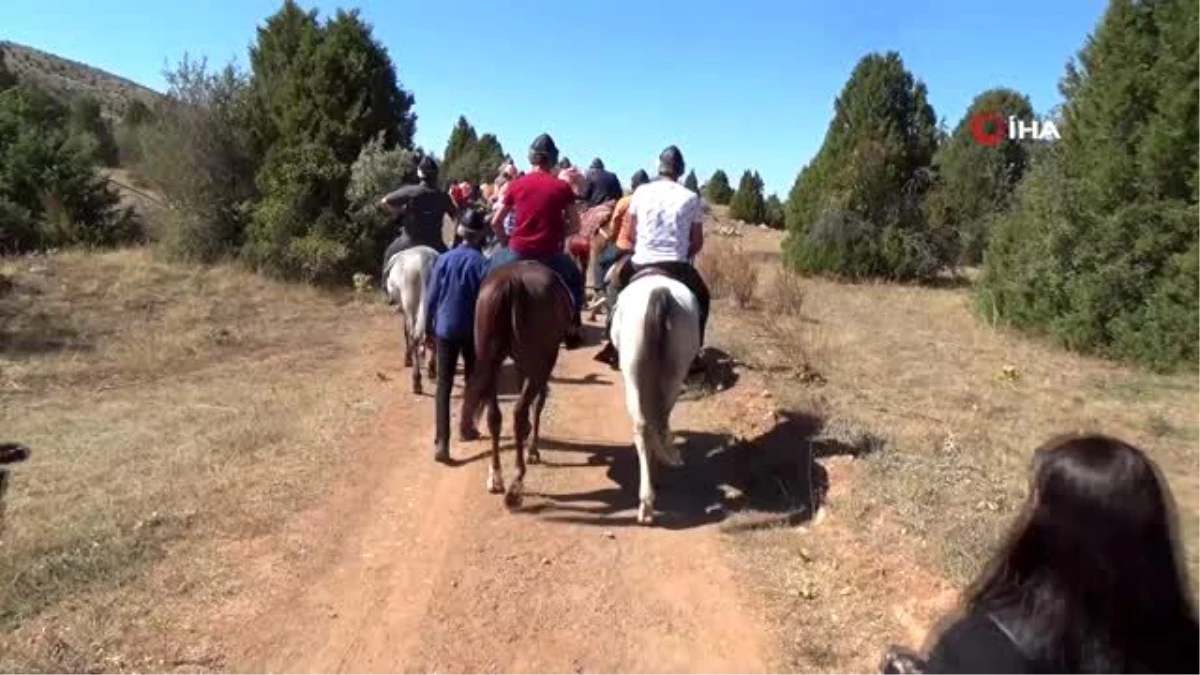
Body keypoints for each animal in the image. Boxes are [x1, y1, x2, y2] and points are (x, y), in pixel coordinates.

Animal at [384, 246, 441, 393]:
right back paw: (431, 369)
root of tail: (425, 261)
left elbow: (406, 332)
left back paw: (416, 381)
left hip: (410, 304)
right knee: (434, 334)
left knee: (414, 336)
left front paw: (408, 358)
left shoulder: (405, 308)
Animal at [456, 257, 573, 504]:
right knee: (519, 411)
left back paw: (496, 477)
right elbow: (537, 402)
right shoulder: (543, 364)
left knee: (494, 417)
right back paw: (516, 483)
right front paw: (533, 450)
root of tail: (513, 282)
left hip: (490, 362)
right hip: (540, 362)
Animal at [609, 270, 700, 523]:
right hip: (676, 371)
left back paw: (647, 501)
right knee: (659, 422)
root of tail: (660, 293)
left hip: (632, 371)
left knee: (643, 425)